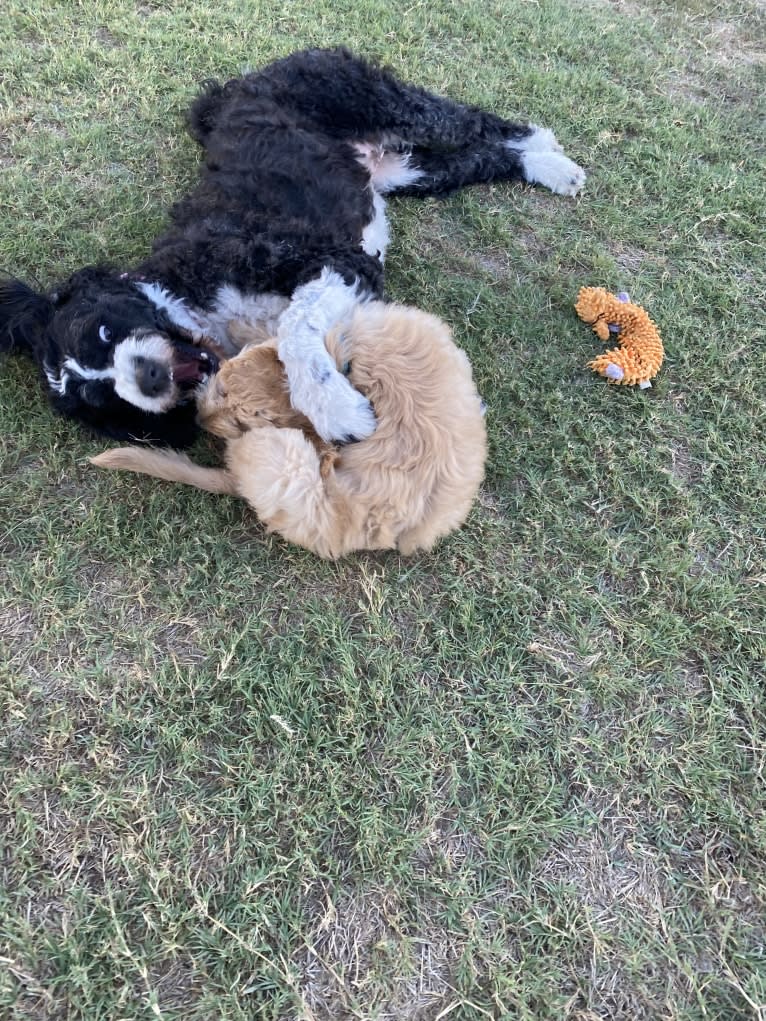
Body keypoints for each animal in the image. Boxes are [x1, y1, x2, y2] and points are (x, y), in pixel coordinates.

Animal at [1, 46, 588, 447]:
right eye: (102, 400)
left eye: (103, 331)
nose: (147, 378)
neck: (186, 297)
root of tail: (246, 78)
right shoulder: (348, 263)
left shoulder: (333, 261)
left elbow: (293, 328)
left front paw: (336, 411)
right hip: (402, 172)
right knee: (480, 158)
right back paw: (547, 168)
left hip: (379, 101)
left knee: (474, 122)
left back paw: (547, 148)